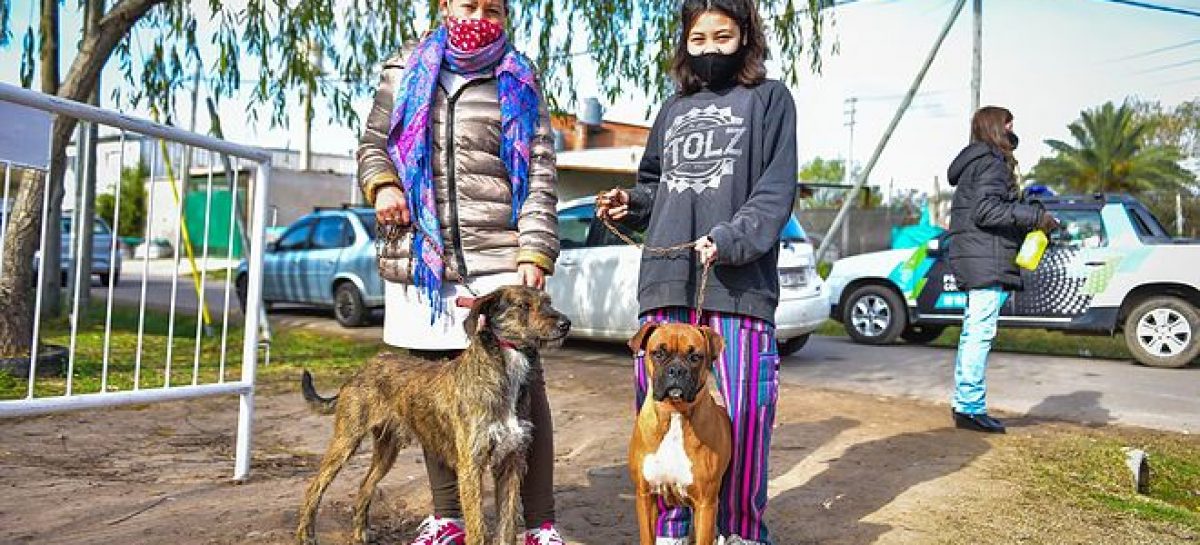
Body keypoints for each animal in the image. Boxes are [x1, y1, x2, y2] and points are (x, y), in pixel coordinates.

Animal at [292, 285, 568, 545]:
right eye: (523, 305)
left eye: (548, 301)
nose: (566, 323)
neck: (504, 369)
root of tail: (362, 369)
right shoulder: (471, 467)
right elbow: (477, 530)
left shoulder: (510, 464)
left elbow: (507, 529)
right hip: (346, 441)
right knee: (314, 487)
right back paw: (306, 535)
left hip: (387, 449)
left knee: (364, 486)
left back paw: (359, 534)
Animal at [628, 324, 729, 545]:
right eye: (658, 353)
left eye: (695, 357)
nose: (676, 370)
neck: (674, 412)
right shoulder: (645, 496)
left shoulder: (706, 504)